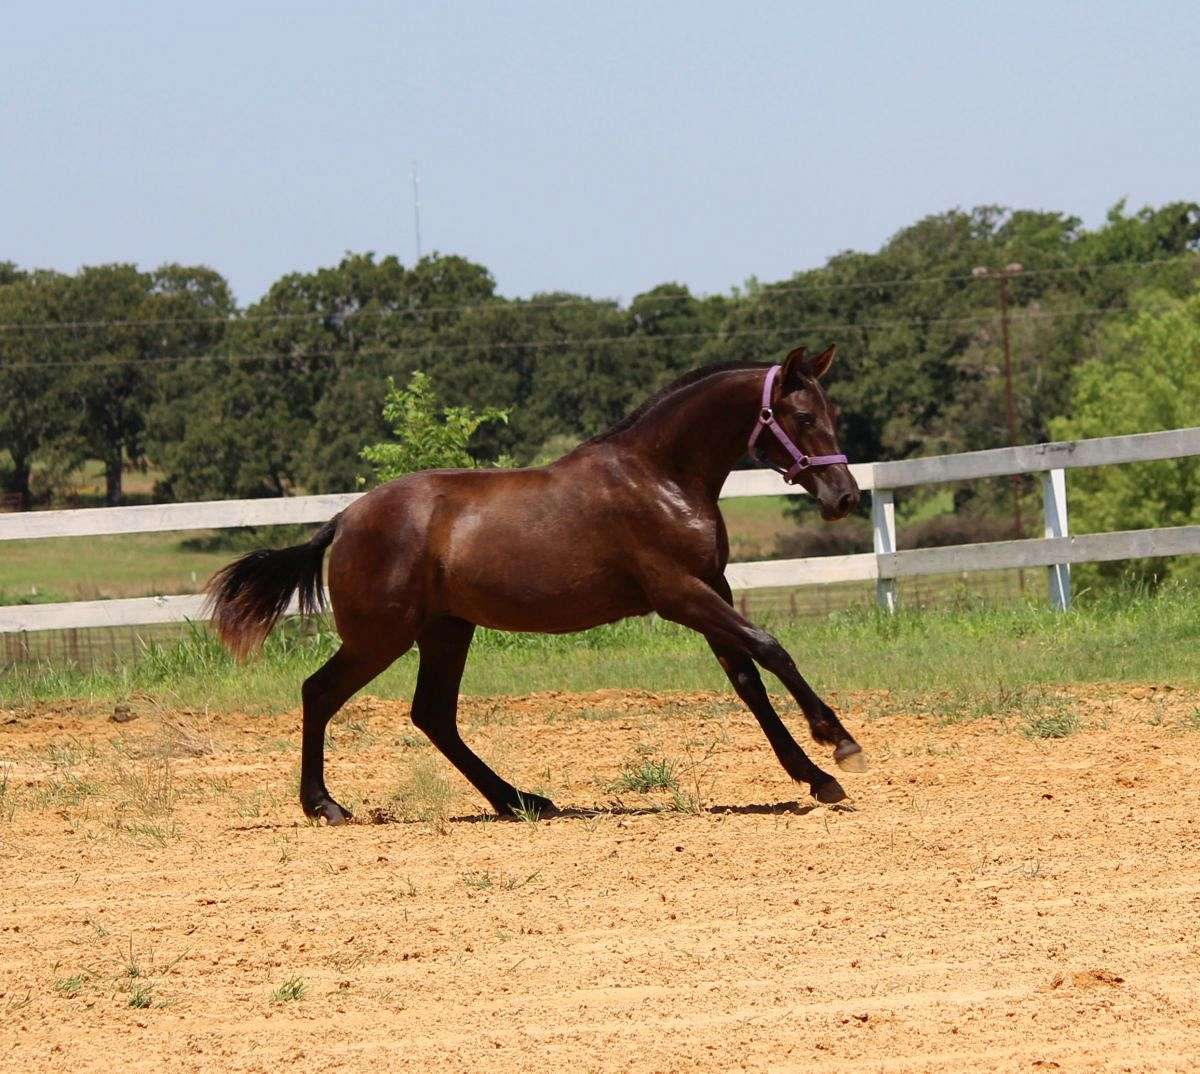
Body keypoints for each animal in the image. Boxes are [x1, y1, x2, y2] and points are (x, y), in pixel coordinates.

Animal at [204, 345, 864, 825]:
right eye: (803, 417)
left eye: (834, 416)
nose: (845, 498)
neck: (660, 477)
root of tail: (345, 518)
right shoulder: (681, 595)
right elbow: (772, 649)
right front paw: (838, 742)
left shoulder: (712, 591)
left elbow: (748, 679)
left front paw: (817, 777)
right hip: (380, 637)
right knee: (320, 692)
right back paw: (325, 805)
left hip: (446, 631)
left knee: (432, 714)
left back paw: (521, 801)